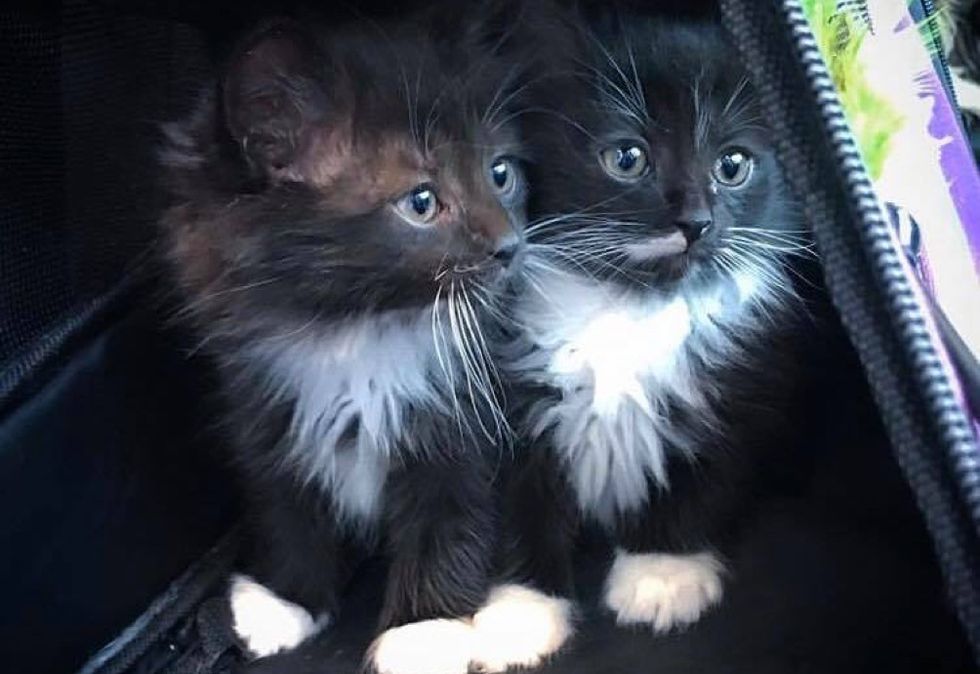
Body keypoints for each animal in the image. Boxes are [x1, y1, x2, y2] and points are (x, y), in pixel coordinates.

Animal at [161, 11, 528, 672]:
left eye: (501, 173)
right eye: (421, 201)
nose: (510, 246)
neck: (356, 332)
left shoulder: (466, 424)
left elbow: (453, 520)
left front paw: (423, 633)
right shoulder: (266, 408)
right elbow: (285, 503)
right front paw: (286, 600)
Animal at [494, 5, 808, 644]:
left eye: (733, 165)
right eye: (627, 158)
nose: (695, 221)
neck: (629, 306)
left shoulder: (741, 386)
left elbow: (699, 479)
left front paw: (663, 574)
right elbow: (519, 500)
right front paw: (521, 610)